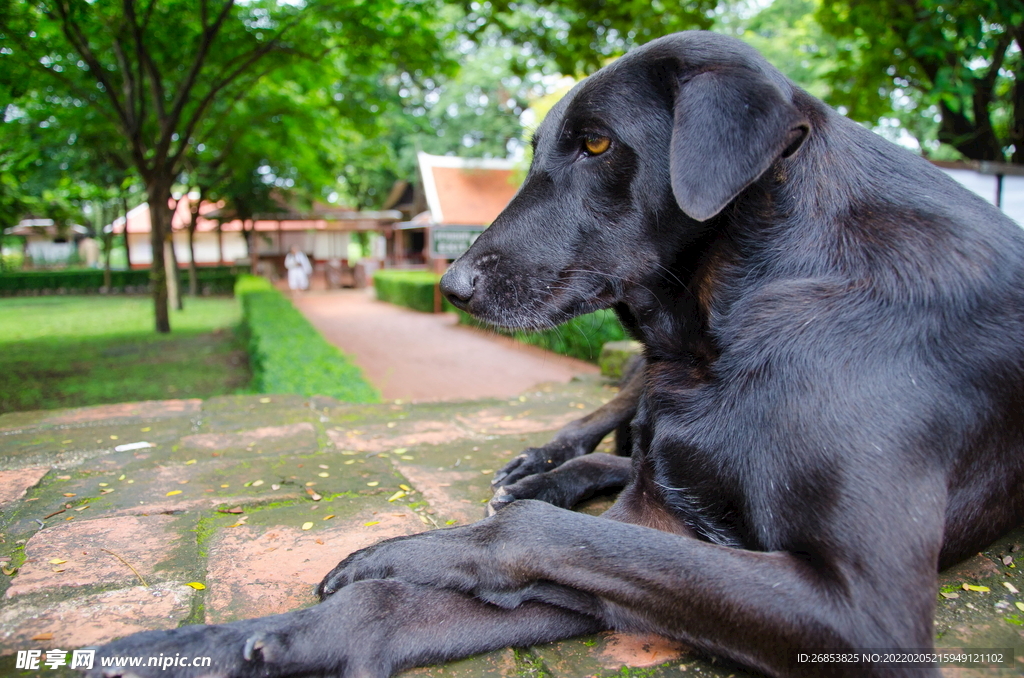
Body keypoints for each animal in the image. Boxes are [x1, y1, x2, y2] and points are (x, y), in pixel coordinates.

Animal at [94, 33, 1024, 678]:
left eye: (599, 145)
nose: (452, 285)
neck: (740, 308)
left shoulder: (862, 613)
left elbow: (530, 538)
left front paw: (414, 545)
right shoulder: (663, 523)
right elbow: (400, 603)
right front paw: (210, 642)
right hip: (639, 396)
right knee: (614, 430)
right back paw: (541, 465)